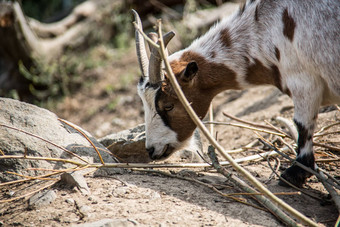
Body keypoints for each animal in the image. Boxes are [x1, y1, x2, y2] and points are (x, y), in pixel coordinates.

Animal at [133, 0, 340, 187]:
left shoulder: (304, 82)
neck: (265, 29)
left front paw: (295, 174)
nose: (151, 150)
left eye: (168, 105)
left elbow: (302, 124)